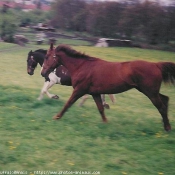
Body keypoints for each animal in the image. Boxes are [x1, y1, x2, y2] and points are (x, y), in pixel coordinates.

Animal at [41, 43, 175, 131]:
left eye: (47, 57)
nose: (43, 73)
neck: (82, 66)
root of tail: (156, 65)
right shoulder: (94, 93)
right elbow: (101, 108)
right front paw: (105, 123)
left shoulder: (79, 90)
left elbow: (68, 104)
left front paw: (57, 117)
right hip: (149, 91)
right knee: (165, 99)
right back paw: (165, 123)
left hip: (150, 92)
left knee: (161, 106)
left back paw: (167, 127)